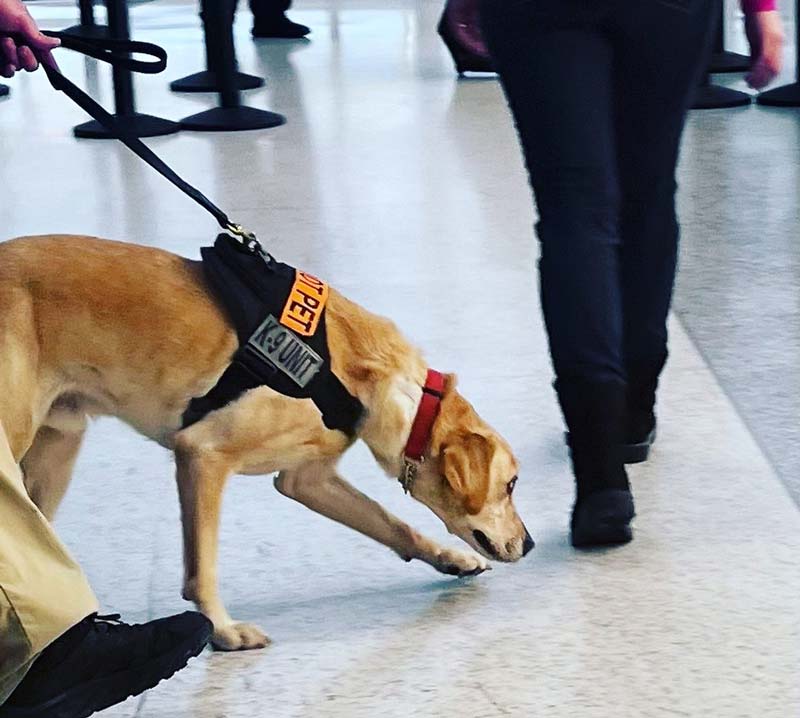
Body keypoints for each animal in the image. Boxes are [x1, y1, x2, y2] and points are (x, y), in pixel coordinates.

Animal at [0, 236, 532, 652]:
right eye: (510, 484)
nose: (527, 544)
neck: (354, 367)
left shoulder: (306, 479)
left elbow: (395, 526)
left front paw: (450, 558)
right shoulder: (203, 455)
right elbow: (202, 567)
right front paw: (220, 630)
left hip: (55, 453)